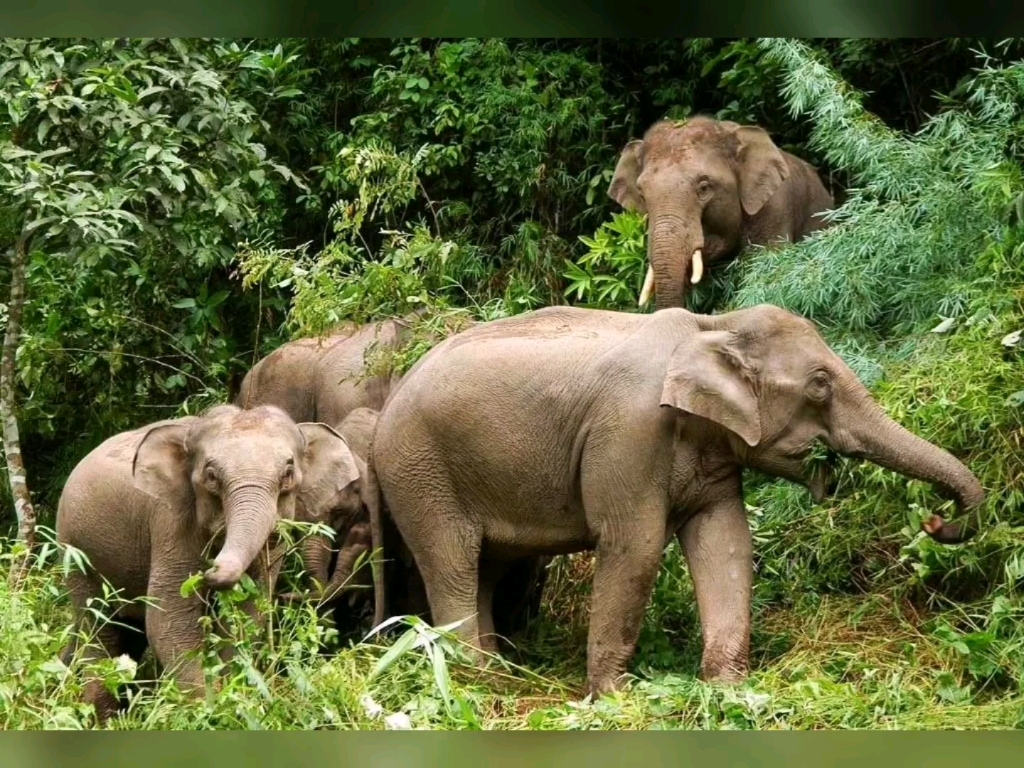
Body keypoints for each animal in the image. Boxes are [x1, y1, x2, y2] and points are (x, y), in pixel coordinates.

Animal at [56, 404, 361, 722]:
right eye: (211, 476)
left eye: (288, 473)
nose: (211, 570)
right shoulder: (171, 521)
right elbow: (169, 617)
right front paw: (209, 708)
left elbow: (248, 613)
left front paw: (233, 697)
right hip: (76, 552)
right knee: (99, 628)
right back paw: (102, 717)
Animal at [368, 304, 984, 696]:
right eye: (819, 385)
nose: (935, 522)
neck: (714, 326)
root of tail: (383, 411)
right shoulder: (629, 431)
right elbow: (634, 548)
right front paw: (616, 697)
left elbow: (727, 544)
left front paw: (728, 688)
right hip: (421, 472)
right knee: (452, 565)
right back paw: (475, 681)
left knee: (485, 570)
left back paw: (498, 674)